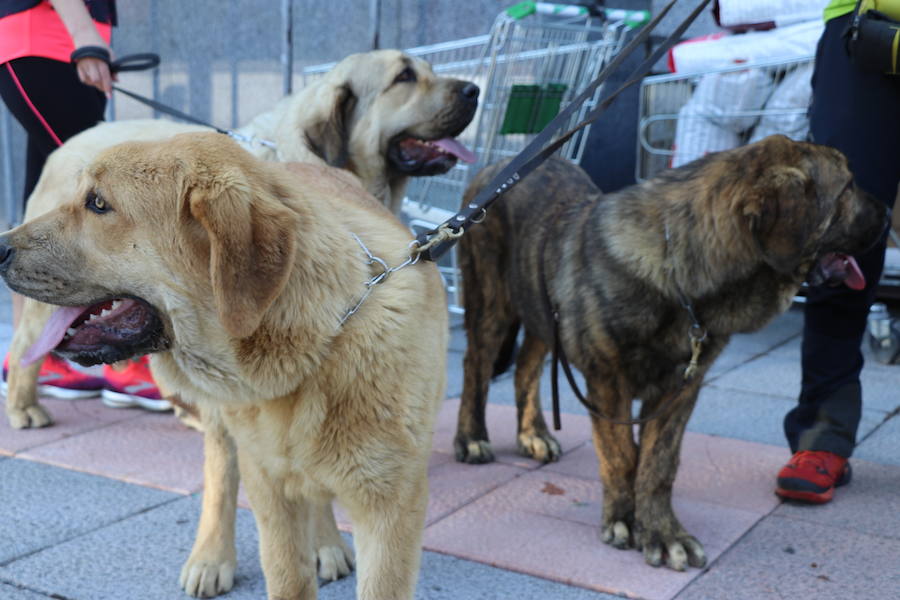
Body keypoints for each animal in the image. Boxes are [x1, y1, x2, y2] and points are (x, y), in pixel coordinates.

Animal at [454, 136, 888, 572]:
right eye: (848, 186)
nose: (888, 215)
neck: (679, 267)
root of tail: (495, 166)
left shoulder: (680, 390)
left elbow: (658, 463)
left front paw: (661, 531)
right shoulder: (608, 382)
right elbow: (622, 455)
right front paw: (625, 520)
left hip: (542, 311)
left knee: (526, 366)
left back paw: (534, 434)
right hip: (493, 303)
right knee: (475, 366)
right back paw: (472, 438)